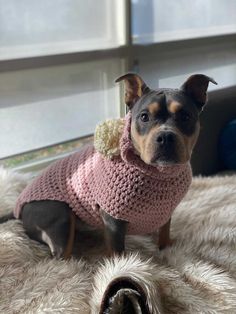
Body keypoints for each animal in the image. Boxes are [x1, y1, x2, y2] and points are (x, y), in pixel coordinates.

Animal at [0, 73, 218, 258]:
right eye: (144, 117)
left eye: (185, 116)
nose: (165, 136)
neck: (159, 173)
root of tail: (18, 207)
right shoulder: (113, 221)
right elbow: (118, 255)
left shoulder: (166, 212)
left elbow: (164, 233)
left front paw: (167, 251)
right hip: (60, 217)